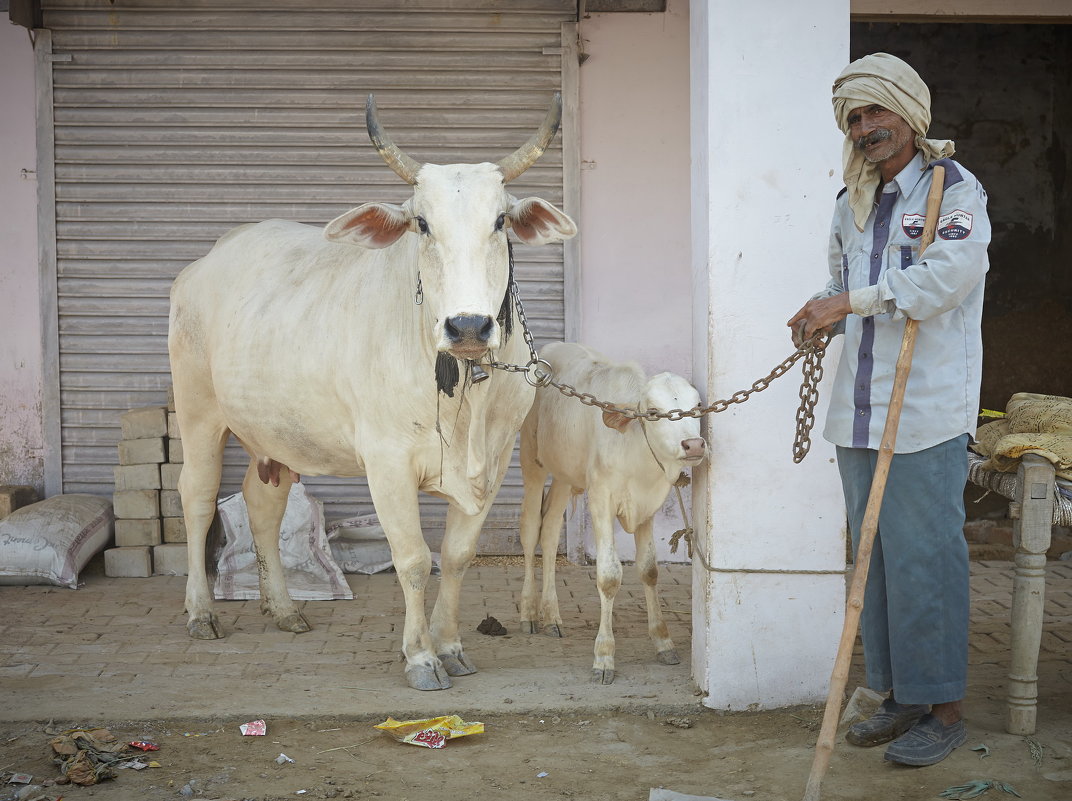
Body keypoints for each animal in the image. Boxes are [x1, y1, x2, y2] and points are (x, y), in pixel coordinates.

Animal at [168, 95, 578, 690]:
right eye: (422, 224)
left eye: (500, 220)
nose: (469, 326)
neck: (462, 393)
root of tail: (206, 262)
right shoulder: (387, 464)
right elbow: (413, 560)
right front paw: (421, 657)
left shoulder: (495, 463)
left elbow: (457, 556)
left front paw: (451, 645)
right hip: (198, 412)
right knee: (197, 498)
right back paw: (201, 613)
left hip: (276, 433)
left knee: (263, 503)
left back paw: (284, 609)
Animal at [516, 340, 707, 686]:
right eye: (653, 413)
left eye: (697, 405)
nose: (694, 444)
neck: (634, 449)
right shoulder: (601, 502)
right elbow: (608, 577)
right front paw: (604, 656)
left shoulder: (647, 507)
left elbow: (649, 570)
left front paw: (663, 641)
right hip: (532, 461)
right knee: (529, 528)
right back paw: (529, 613)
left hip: (565, 475)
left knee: (549, 533)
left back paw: (552, 617)